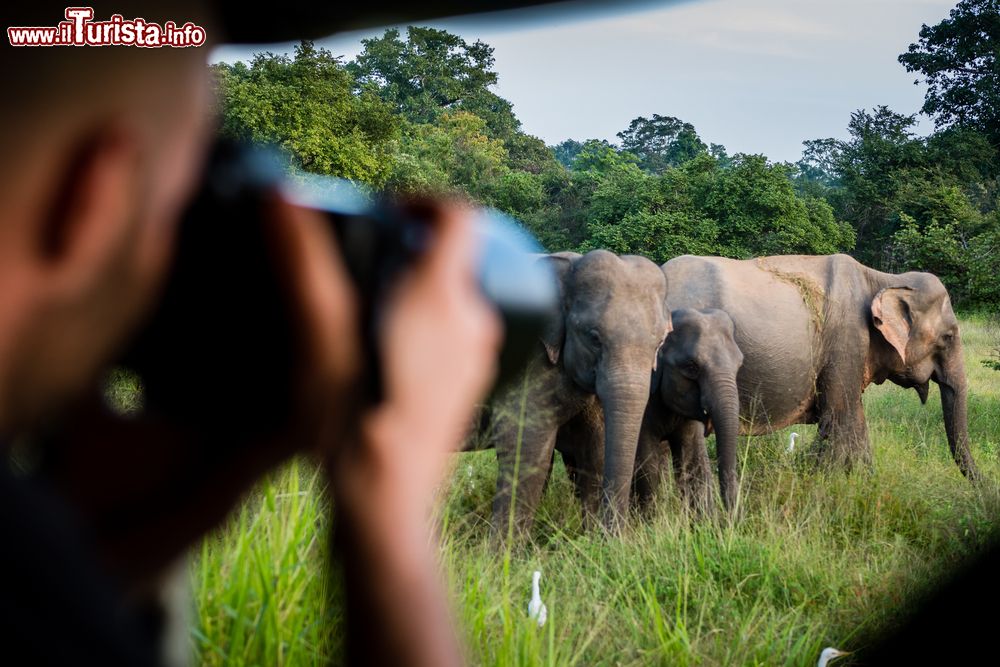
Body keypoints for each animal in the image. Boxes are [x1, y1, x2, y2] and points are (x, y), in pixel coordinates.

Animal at [490, 248, 672, 536]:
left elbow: (593, 451)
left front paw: (591, 538)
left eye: (660, 343)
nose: (616, 536)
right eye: (594, 337)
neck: (569, 264)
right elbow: (524, 446)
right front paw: (503, 549)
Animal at [636, 306, 748, 516]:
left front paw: (704, 521)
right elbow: (646, 464)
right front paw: (648, 521)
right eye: (691, 366)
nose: (731, 519)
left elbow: (693, 461)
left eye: (739, 365)